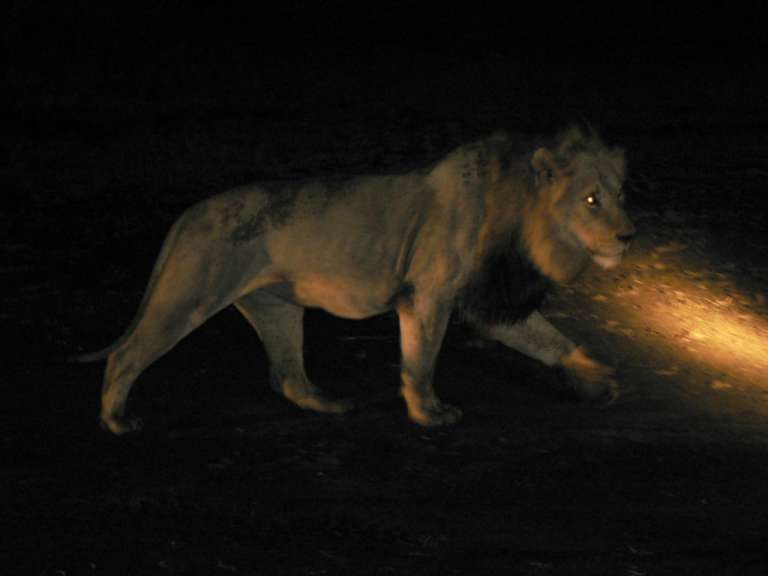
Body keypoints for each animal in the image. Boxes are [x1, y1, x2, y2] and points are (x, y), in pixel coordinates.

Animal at [75, 127, 635, 435]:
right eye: (591, 200)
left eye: (620, 194)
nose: (629, 235)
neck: (520, 215)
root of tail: (187, 215)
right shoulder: (429, 295)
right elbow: (420, 361)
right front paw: (428, 413)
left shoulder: (482, 299)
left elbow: (546, 336)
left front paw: (597, 376)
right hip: (189, 295)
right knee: (128, 355)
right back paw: (116, 420)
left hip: (277, 308)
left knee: (288, 376)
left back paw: (328, 403)